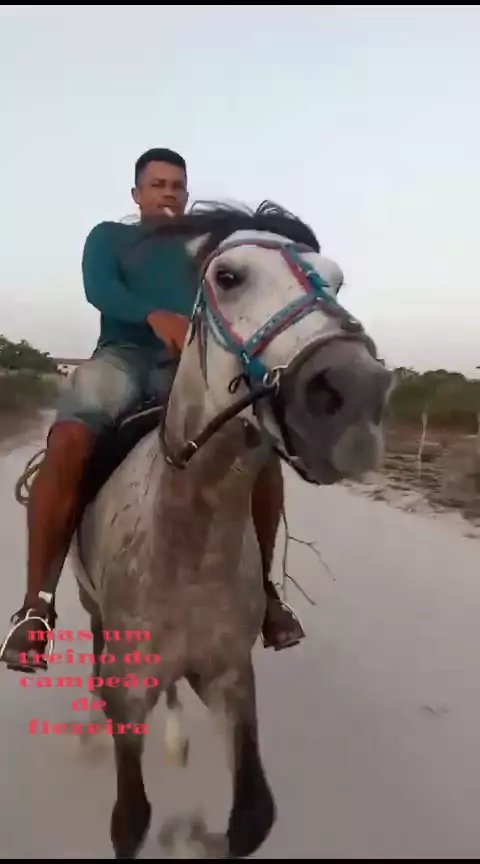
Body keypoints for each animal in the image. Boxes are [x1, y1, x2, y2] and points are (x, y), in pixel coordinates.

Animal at [64, 201, 393, 858]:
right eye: (228, 277)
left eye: (337, 282)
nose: (356, 395)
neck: (186, 541)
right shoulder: (129, 690)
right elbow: (129, 820)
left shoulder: (231, 678)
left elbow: (253, 816)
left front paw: (191, 836)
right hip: (92, 613)